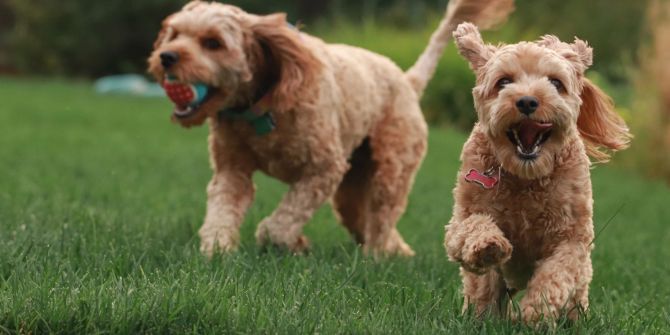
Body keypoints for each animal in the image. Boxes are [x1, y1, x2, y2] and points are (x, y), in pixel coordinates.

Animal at [148, 1, 516, 258]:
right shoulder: (232, 169)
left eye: (213, 43)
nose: (166, 57)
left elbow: (281, 223)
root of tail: (407, 80)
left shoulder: (323, 168)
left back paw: (377, 257)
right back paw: (398, 251)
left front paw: (289, 240)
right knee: (365, 219)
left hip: (391, 169)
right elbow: (222, 209)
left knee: (382, 216)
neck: (262, 106)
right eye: (175, 34)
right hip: (352, 187)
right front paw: (217, 250)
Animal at [446, 23, 636, 322]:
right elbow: (472, 226)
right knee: (484, 291)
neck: (526, 176)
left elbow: (556, 273)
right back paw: (481, 317)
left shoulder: (572, 238)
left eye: (556, 83)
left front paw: (537, 311)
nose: (527, 101)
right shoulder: (461, 218)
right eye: (503, 82)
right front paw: (488, 245)